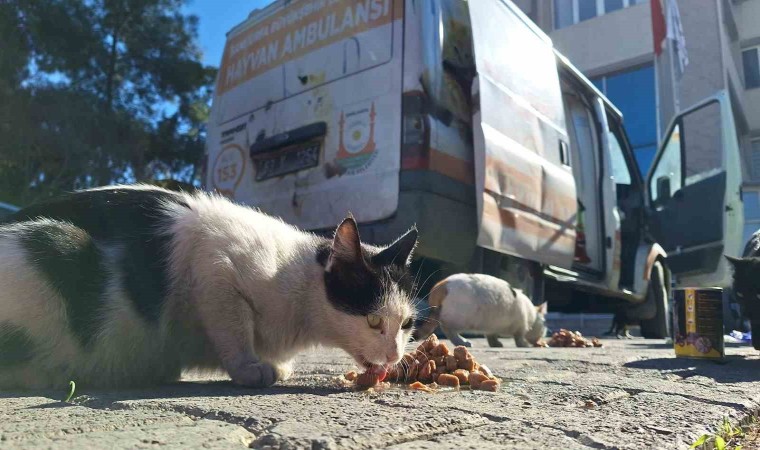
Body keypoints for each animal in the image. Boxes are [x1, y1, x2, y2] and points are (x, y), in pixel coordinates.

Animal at [0, 185, 422, 388]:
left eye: (406, 325)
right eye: (373, 321)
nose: (394, 355)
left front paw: (276, 365)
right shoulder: (214, 267)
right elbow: (233, 329)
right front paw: (250, 367)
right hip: (57, 243)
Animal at [412, 270, 544, 348]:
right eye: (544, 324)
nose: (543, 335)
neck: (532, 314)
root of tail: (441, 286)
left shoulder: (491, 327)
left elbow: (491, 335)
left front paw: (495, 343)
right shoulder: (521, 325)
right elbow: (519, 337)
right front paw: (524, 344)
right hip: (459, 318)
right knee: (448, 329)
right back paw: (462, 342)